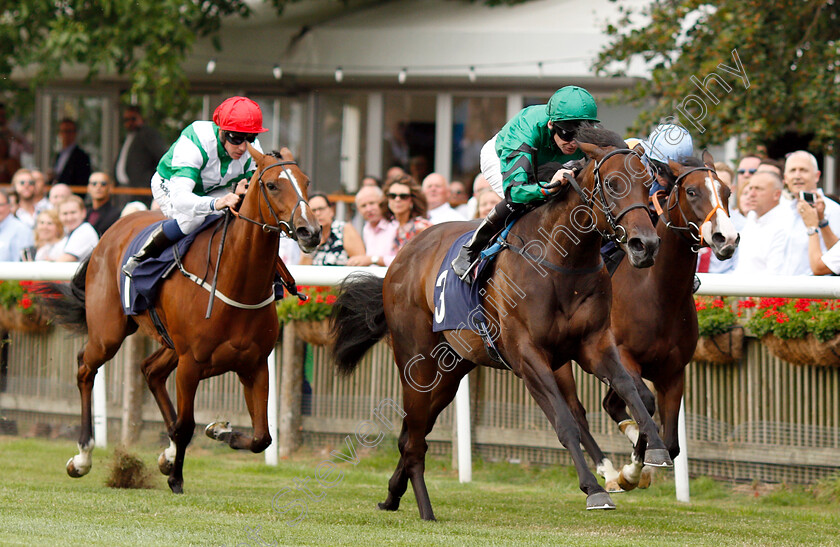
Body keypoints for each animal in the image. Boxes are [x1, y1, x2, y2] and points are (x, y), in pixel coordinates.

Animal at [36, 148, 320, 494]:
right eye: (272, 185)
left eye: (306, 181)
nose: (310, 231)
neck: (236, 281)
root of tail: (112, 230)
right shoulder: (191, 365)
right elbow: (187, 425)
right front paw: (177, 478)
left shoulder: (254, 365)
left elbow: (261, 437)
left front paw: (218, 432)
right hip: (109, 333)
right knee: (85, 368)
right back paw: (83, 457)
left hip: (169, 344)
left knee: (150, 371)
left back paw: (167, 453)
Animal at [332, 128, 672, 524]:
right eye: (613, 183)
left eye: (649, 184)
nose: (645, 245)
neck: (563, 262)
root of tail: (402, 256)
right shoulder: (528, 356)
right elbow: (566, 421)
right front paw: (595, 488)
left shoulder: (594, 345)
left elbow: (635, 394)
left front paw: (647, 458)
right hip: (416, 363)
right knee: (413, 435)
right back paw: (424, 507)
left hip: (452, 370)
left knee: (413, 433)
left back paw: (392, 494)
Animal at [560, 153, 740, 492]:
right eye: (692, 191)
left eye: (727, 192)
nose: (727, 238)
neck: (658, 293)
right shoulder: (622, 356)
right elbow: (644, 400)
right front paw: (631, 470)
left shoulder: (673, 372)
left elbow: (671, 443)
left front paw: (641, 461)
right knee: (576, 410)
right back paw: (608, 469)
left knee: (608, 406)